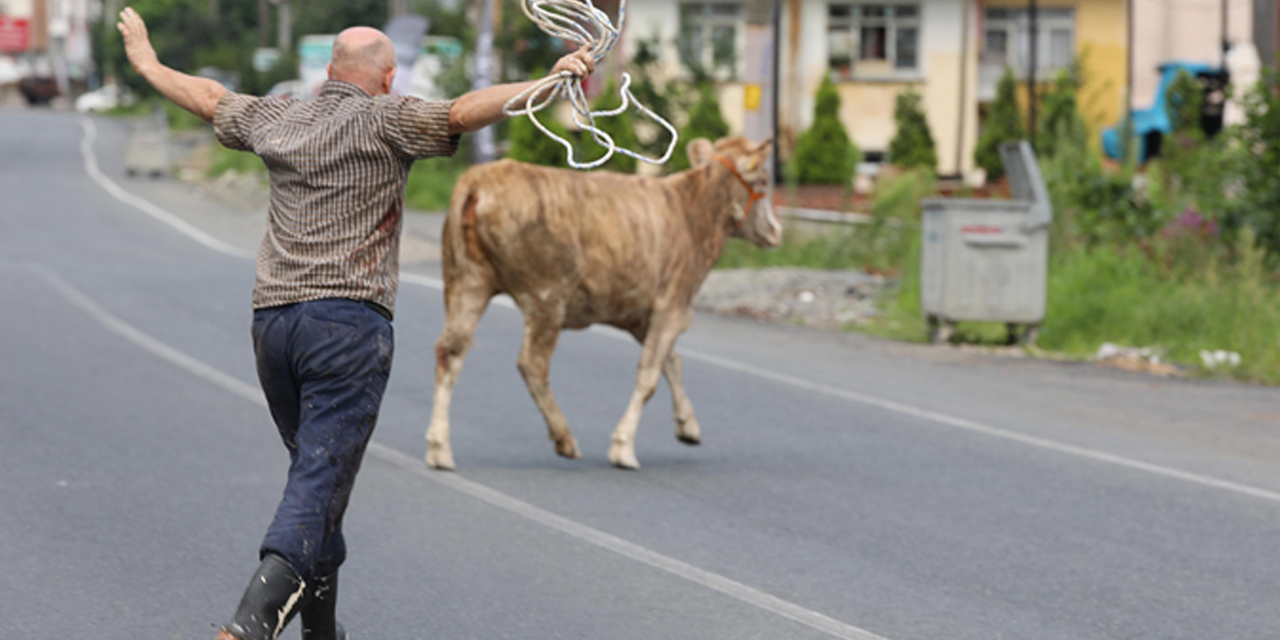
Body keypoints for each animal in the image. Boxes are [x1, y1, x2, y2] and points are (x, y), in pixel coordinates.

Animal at [427, 136, 778, 471]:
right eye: (762, 181)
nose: (776, 230)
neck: (693, 214)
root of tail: (479, 178)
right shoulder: (672, 305)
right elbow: (649, 375)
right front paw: (623, 448)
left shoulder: (640, 314)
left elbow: (672, 362)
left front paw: (687, 425)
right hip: (546, 297)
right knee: (532, 364)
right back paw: (564, 437)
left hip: (467, 280)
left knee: (451, 351)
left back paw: (439, 447)